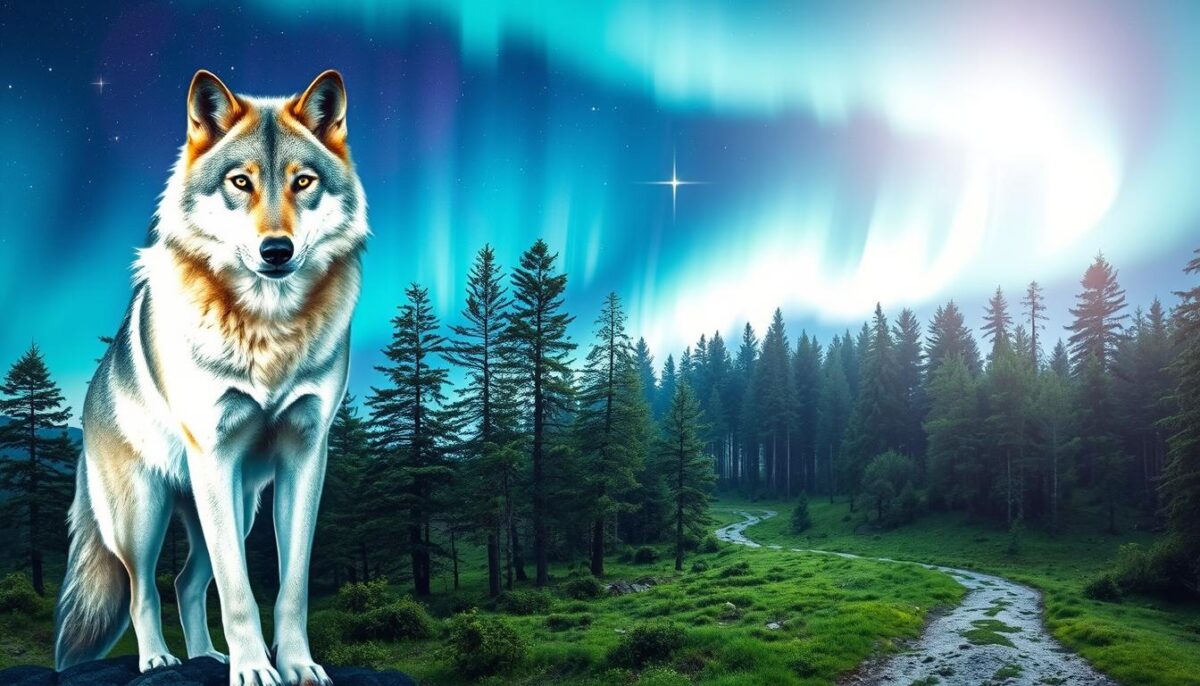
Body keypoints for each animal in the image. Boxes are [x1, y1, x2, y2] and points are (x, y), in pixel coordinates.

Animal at [53, 69, 368, 686]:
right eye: (240, 182)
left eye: (303, 182)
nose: (277, 250)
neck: (269, 328)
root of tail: (91, 397)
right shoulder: (216, 455)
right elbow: (238, 591)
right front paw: (254, 670)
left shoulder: (305, 457)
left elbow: (290, 587)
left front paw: (296, 664)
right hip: (146, 515)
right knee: (144, 592)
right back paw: (158, 659)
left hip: (232, 508)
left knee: (186, 582)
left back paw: (204, 656)